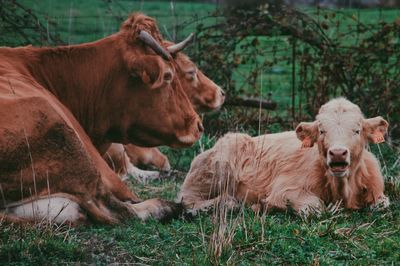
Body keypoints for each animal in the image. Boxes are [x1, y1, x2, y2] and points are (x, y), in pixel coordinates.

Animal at [179, 98, 390, 217]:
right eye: (322, 130)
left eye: (357, 130)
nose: (338, 153)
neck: (341, 192)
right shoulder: (283, 190)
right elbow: (315, 208)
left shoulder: (378, 192)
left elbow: (382, 205)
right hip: (218, 169)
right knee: (187, 201)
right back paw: (227, 203)